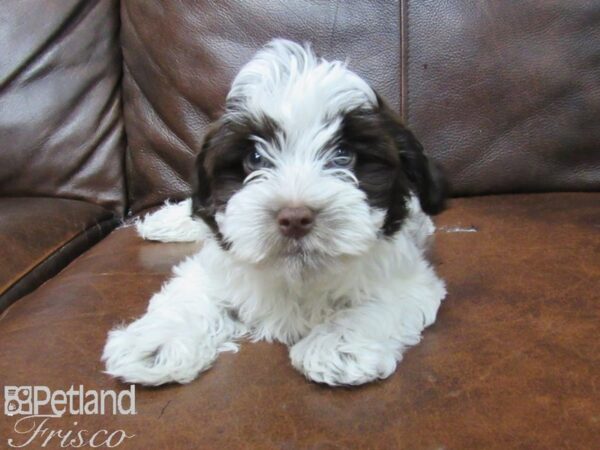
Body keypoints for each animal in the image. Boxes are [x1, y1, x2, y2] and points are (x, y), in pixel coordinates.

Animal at [102, 38, 446, 386]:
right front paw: (156, 343)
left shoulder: (410, 281)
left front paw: (337, 346)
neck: (298, 274)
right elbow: (191, 295)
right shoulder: (214, 267)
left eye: (343, 155)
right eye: (254, 158)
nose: (294, 218)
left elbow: (379, 305)